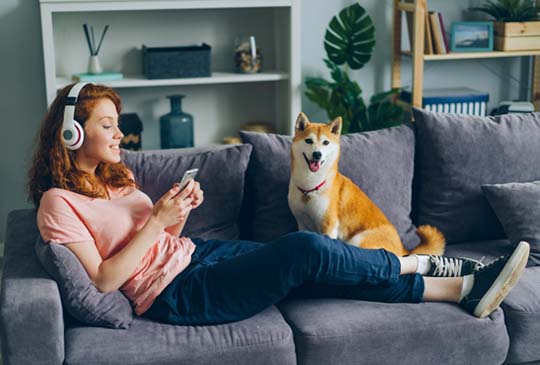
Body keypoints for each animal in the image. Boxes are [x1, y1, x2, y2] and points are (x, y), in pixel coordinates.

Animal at [288, 112, 446, 255]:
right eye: (309, 141)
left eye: (326, 142)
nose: (317, 154)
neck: (310, 187)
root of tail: (403, 250)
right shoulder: (302, 223)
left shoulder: (329, 225)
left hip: (358, 240)